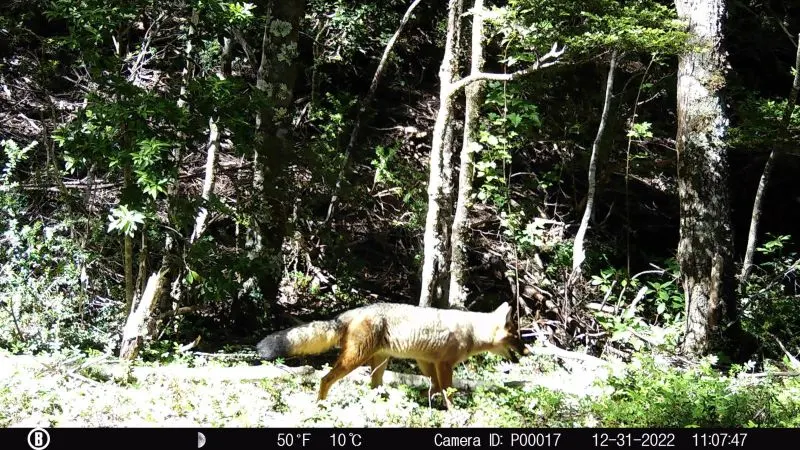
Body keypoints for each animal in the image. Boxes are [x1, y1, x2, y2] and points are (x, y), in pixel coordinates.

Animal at [258, 302, 532, 408]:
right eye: (517, 337)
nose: (528, 351)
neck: (472, 331)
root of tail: (352, 311)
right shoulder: (444, 365)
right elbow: (448, 391)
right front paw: (454, 412)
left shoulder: (426, 362)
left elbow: (433, 389)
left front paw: (426, 403)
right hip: (354, 361)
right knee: (325, 379)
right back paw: (321, 405)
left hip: (379, 364)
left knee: (374, 388)